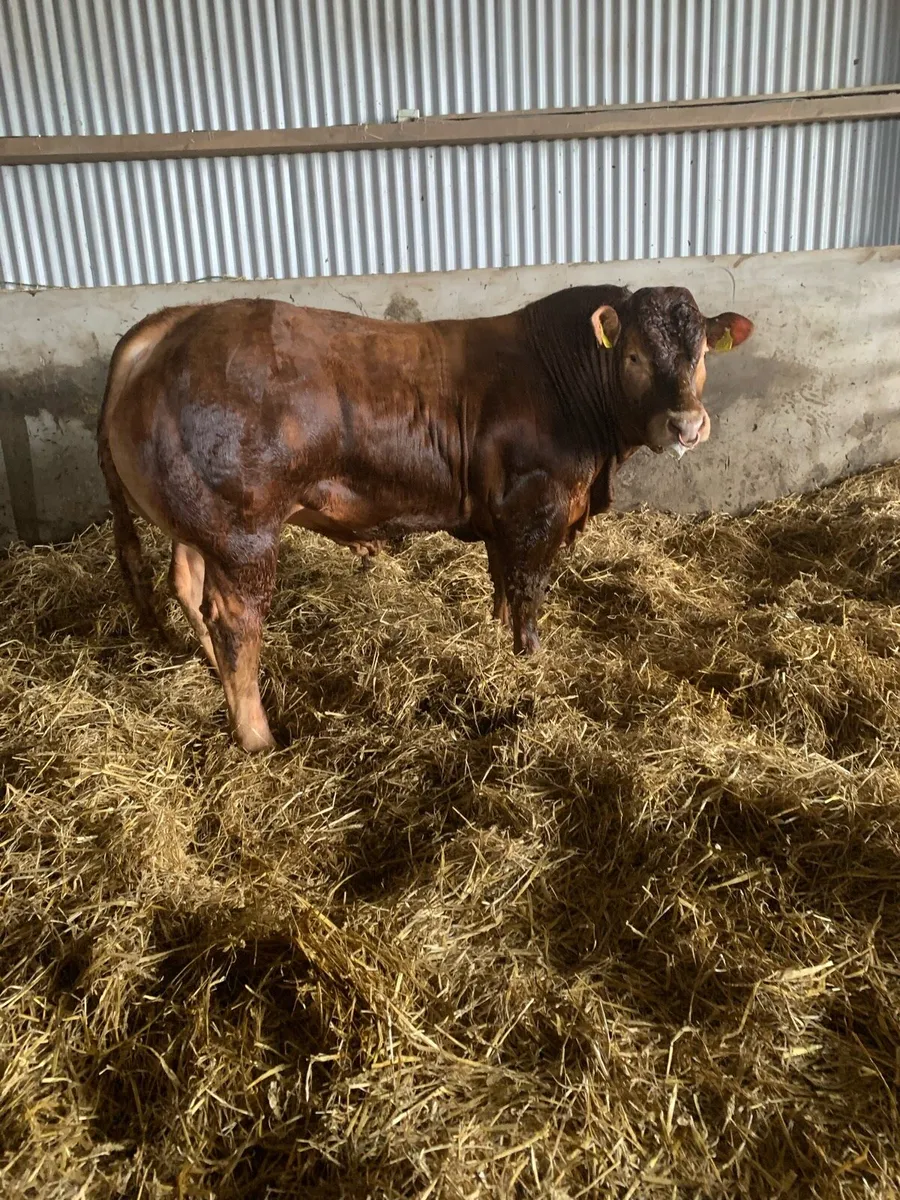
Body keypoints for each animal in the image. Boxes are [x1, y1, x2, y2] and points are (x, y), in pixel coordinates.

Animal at [97, 286, 753, 751]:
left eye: (699, 354)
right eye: (635, 355)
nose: (687, 425)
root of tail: (177, 322)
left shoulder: (501, 518)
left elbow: (500, 586)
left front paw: (495, 642)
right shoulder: (536, 510)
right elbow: (528, 595)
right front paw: (531, 665)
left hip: (198, 524)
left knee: (187, 586)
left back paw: (209, 668)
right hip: (243, 532)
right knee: (237, 622)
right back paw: (258, 736)